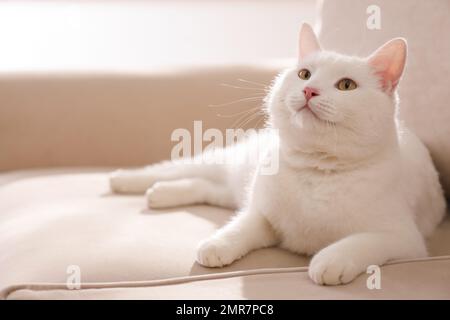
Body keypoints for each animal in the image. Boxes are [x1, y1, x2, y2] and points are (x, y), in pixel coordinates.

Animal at [110, 23, 446, 286]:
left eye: (346, 85)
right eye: (304, 74)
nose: (309, 90)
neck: (316, 169)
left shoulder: (404, 239)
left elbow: (361, 242)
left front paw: (331, 260)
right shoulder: (262, 214)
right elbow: (241, 226)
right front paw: (218, 244)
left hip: (232, 187)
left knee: (205, 187)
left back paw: (160, 193)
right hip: (224, 163)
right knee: (172, 168)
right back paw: (125, 180)